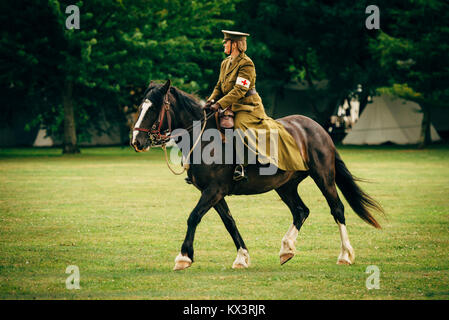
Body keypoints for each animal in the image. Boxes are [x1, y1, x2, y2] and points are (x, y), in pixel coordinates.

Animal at [130, 80, 382, 270]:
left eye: (153, 108)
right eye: (141, 107)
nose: (136, 141)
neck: (205, 139)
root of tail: (316, 127)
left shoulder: (213, 191)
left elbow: (193, 217)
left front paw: (184, 257)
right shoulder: (214, 194)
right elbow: (229, 222)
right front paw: (242, 257)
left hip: (323, 177)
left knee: (337, 209)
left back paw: (345, 254)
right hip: (286, 186)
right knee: (301, 211)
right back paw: (287, 248)